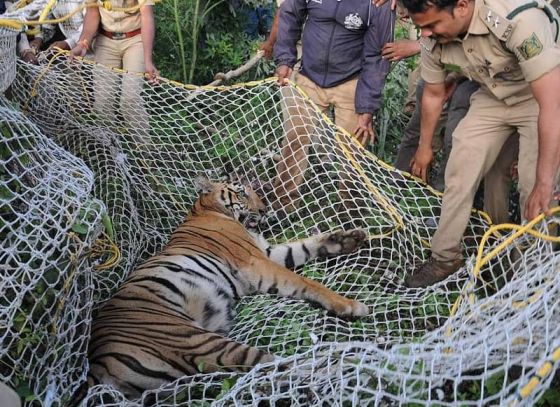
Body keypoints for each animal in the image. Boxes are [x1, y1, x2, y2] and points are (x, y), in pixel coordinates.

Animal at [84, 177, 368, 400]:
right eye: (242, 192)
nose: (264, 209)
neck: (207, 209)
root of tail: (97, 363)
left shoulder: (267, 253)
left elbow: (302, 246)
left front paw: (346, 239)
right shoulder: (255, 261)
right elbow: (305, 282)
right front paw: (349, 305)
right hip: (199, 342)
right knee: (283, 367)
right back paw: (354, 366)